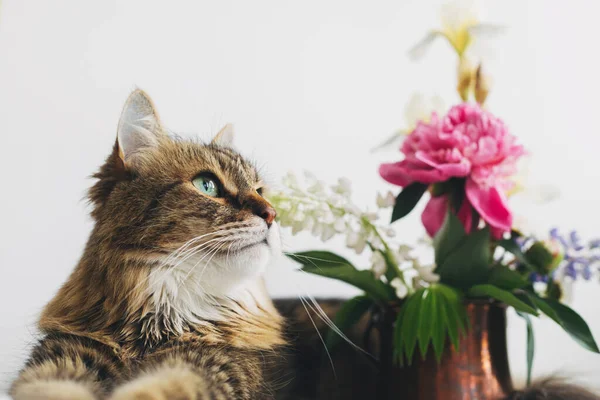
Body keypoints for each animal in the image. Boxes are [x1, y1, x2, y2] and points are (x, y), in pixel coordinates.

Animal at [10, 90, 288, 400]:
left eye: (260, 191)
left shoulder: (217, 365)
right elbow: (52, 389)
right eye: (207, 185)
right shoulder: (62, 354)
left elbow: (158, 389)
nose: (272, 214)